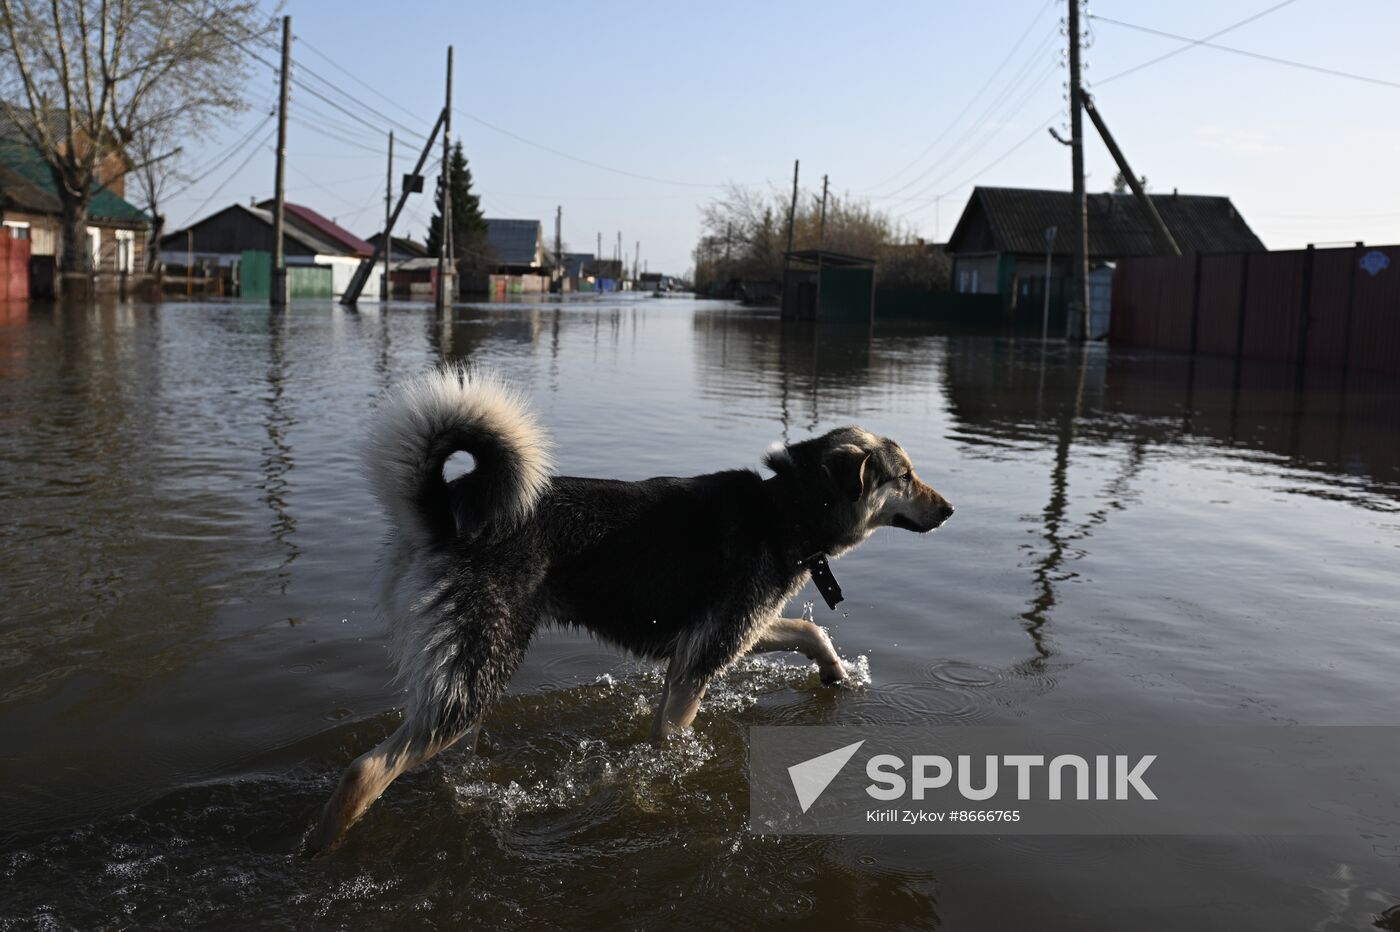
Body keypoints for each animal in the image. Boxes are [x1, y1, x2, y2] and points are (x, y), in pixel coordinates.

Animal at [309, 363, 952, 850]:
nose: (949, 511)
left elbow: (809, 633)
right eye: (905, 476)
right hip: (480, 669)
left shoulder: (725, 637)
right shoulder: (702, 661)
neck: (785, 510)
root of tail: (444, 512)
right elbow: (669, 742)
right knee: (365, 770)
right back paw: (324, 848)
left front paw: (836, 673)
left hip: (466, 670)